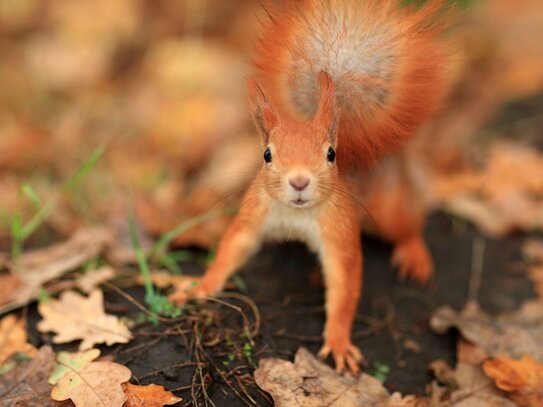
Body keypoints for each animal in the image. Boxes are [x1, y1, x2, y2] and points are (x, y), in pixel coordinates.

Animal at [171, 0, 450, 372]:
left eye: (330, 154)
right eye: (267, 154)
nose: (300, 181)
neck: (296, 215)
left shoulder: (339, 230)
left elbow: (344, 285)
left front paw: (339, 341)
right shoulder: (254, 216)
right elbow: (232, 249)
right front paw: (199, 287)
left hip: (386, 208)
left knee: (407, 224)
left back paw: (414, 254)